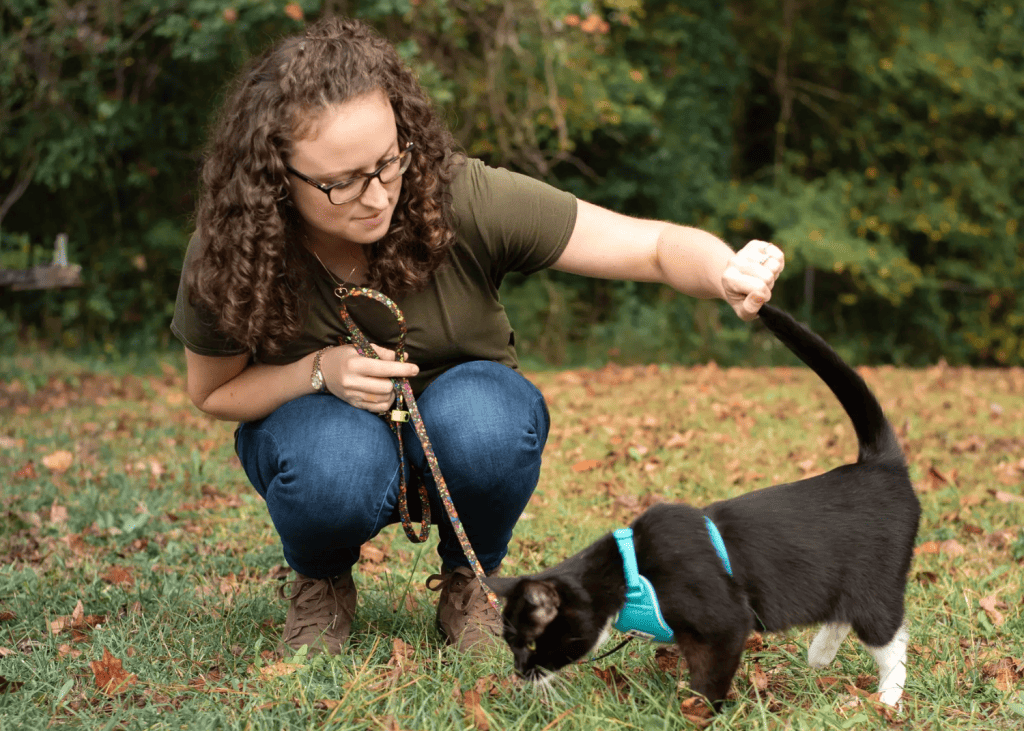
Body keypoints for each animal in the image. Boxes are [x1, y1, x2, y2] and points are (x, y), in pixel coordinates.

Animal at [483, 305, 925, 708]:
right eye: (509, 642)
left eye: (531, 644)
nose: (519, 671)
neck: (631, 567)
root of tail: (880, 462)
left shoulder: (724, 621)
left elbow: (711, 674)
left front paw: (697, 711)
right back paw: (821, 653)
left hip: (876, 583)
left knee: (891, 639)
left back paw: (887, 698)